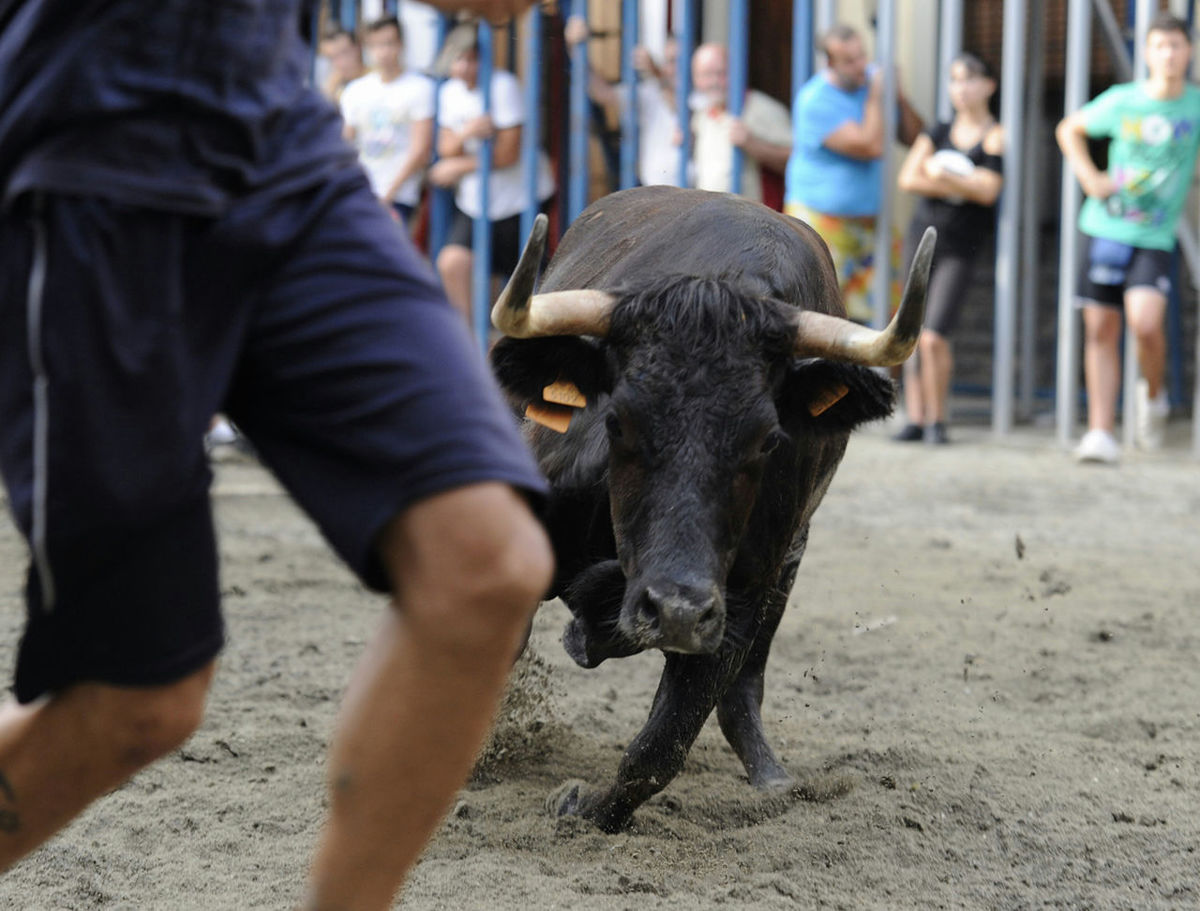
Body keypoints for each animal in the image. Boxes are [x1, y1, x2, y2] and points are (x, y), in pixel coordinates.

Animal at [489, 184, 936, 835]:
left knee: (741, 689)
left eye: (768, 440)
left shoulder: (741, 599)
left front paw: (582, 807)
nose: (674, 609)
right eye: (617, 420)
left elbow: (661, 746)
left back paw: (769, 774)